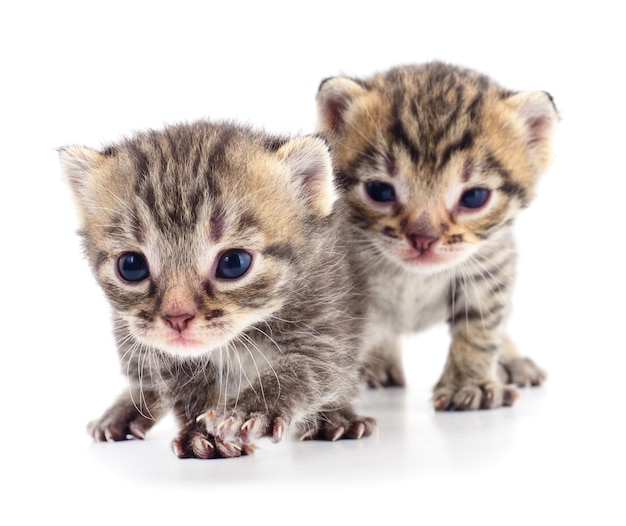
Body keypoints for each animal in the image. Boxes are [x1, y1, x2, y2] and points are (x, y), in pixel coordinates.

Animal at [61, 121, 376, 460]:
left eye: (233, 263)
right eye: (131, 266)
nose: (177, 317)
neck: (239, 338)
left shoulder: (327, 324)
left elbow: (305, 370)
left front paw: (250, 411)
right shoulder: (165, 354)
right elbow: (184, 388)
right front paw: (200, 434)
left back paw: (336, 418)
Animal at [316, 63, 556, 412]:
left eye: (474, 197)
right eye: (379, 190)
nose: (423, 238)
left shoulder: (490, 264)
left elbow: (481, 325)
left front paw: (469, 383)